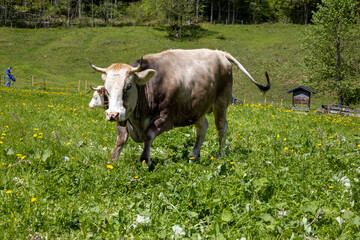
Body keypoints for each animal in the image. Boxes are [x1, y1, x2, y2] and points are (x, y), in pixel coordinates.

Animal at [87, 48, 268, 169]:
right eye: (106, 89)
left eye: (128, 86)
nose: (112, 114)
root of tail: (219, 53)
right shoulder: (125, 117)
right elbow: (121, 139)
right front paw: (112, 161)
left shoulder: (165, 118)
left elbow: (148, 135)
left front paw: (147, 161)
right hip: (197, 108)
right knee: (202, 127)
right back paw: (194, 155)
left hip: (221, 102)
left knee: (222, 128)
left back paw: (220, 155)